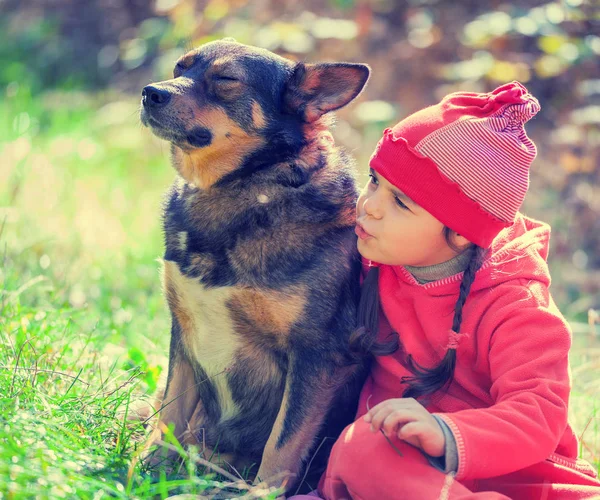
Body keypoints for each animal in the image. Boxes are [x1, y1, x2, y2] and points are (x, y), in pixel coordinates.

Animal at [141, 39, 372, 492]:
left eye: (227, 80)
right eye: (179, 68)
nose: (150, 92)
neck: (239, 188)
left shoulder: (317, 354)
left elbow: (283, 443)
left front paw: (261, 493)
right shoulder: (182, 331)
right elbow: (170, 414)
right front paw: (146, 470)